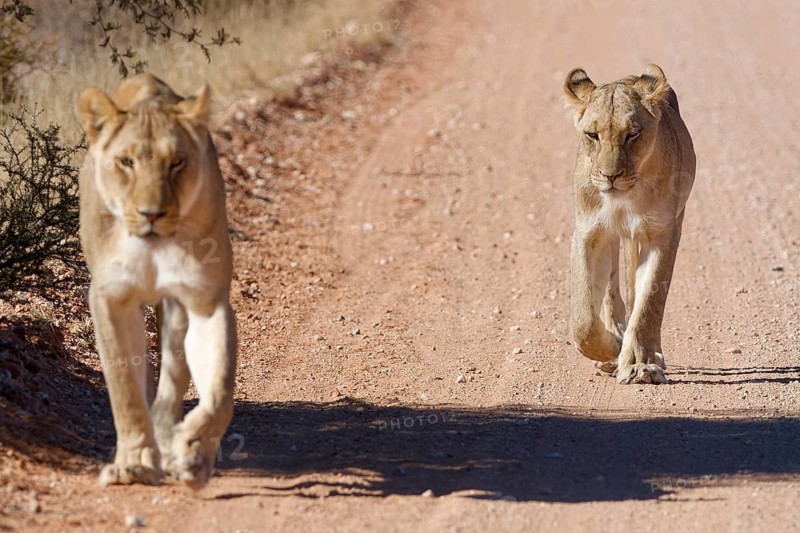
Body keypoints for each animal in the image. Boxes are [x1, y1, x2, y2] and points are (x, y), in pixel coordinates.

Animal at [77, 73, 236, 488]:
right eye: (126, 162)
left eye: (176, 162)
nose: (151, 214)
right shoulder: (110, 298)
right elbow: (125, 388)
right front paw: (134, 464)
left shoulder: (205, 299)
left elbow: (221, 388)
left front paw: (193, 452)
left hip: (175, 309)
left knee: (174, 373)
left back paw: (169, 436)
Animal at [563, 64, 695, 384]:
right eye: (593, 135)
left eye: (632, 135)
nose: (610, 176)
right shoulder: (588, 232)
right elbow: (583, 319)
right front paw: (612, 348)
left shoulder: (662, 234)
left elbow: (649, 302)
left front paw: (640, 364)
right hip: (613, 238)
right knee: (612, 291)